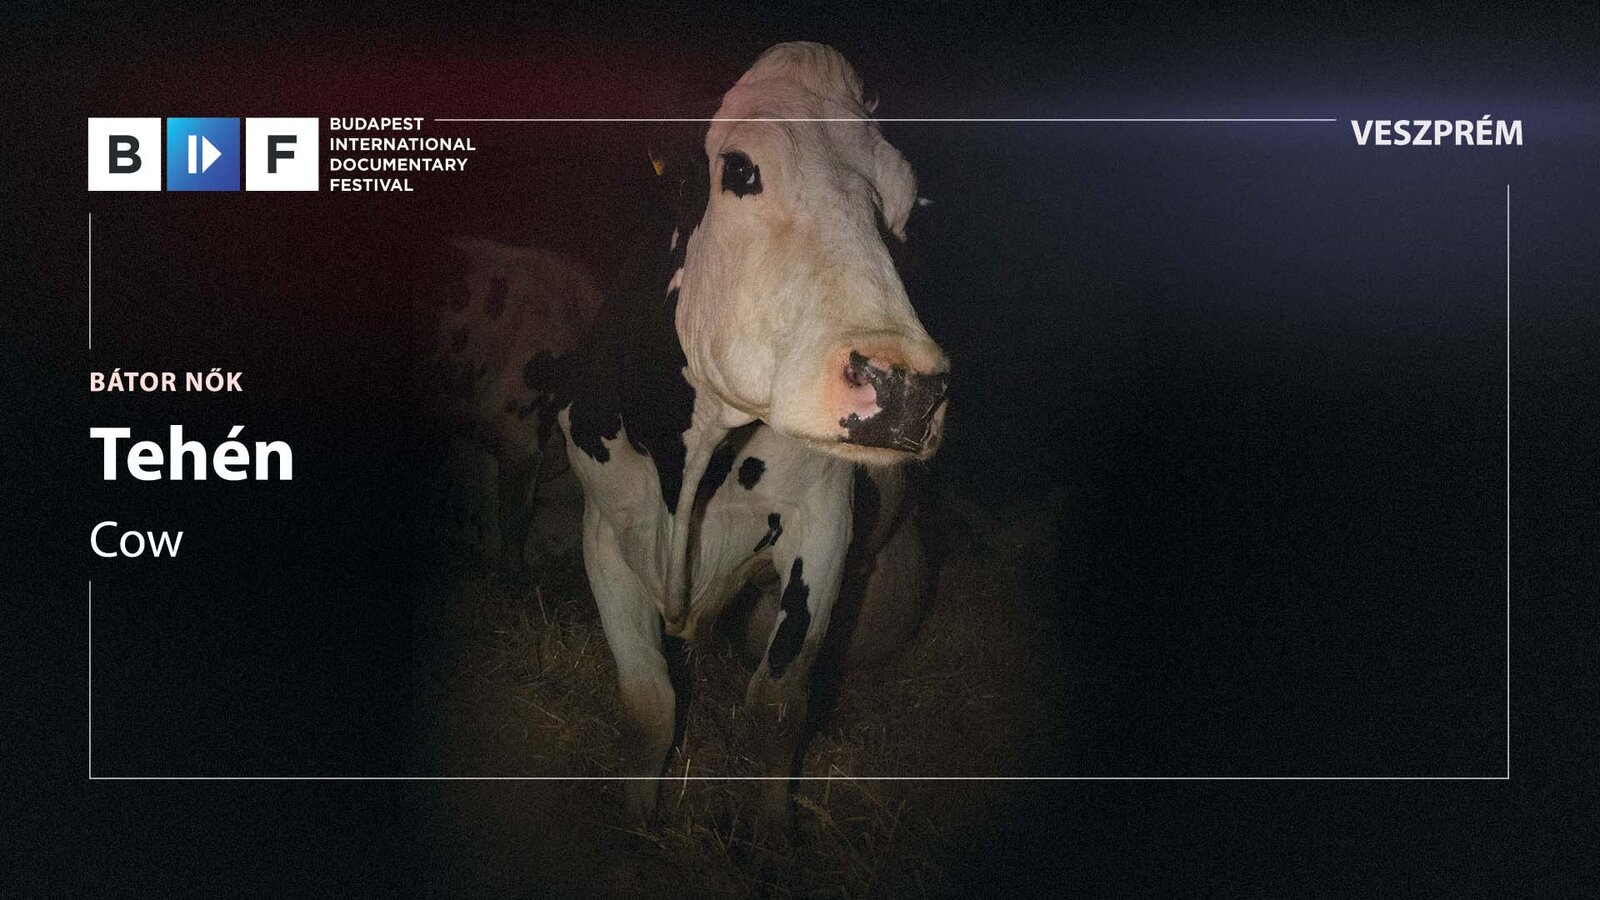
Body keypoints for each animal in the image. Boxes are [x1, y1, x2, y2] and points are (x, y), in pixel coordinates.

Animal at [546, 42, 949, 841]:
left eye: (903, 205)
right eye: (741, 170)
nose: (906, 389)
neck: (689, 465)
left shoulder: (821, 526)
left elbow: (775, 706)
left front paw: (770, 838)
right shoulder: (604, 529)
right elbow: (648, 705)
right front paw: (636, 827)